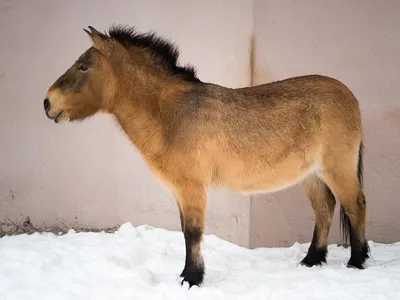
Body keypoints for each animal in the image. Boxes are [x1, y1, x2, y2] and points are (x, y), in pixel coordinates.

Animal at [43, 24, 368, 288]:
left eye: (84, 66)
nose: (47, 103)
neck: (171, 113)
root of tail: (349, 95)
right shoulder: (181, 190)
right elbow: (186, 232)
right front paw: (187, 275)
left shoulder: (192, 187)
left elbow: (193, 232)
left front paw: (192, 279)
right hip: (311, 175)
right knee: (324, 208)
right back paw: (312, 259)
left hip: (337, 169)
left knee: (355, 205)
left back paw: (357, 261)